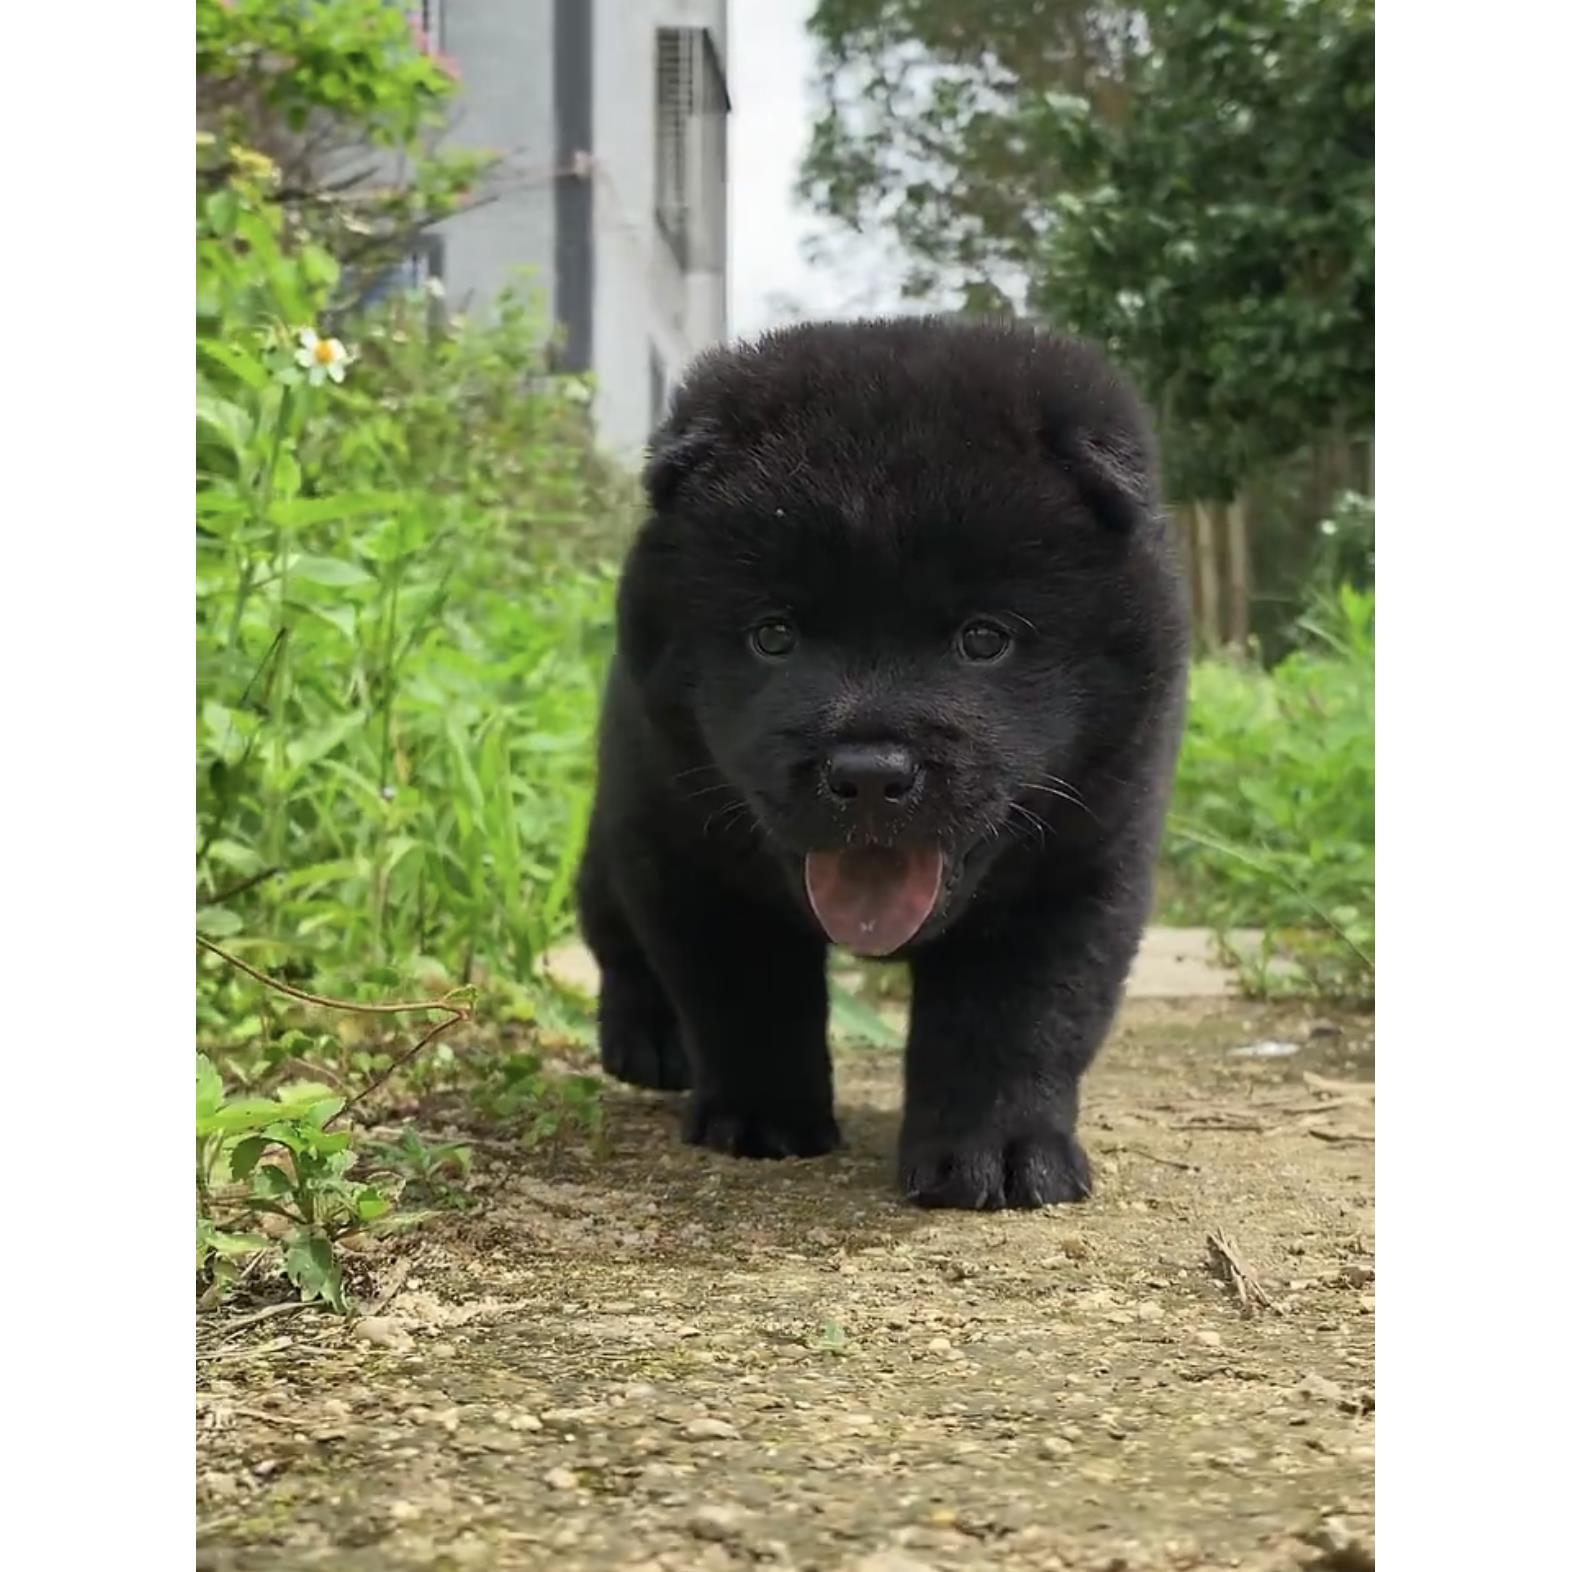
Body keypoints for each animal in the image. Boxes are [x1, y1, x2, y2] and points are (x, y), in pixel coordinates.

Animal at [581, 315, 1188, 1201]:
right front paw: (762, 1120)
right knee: (616, 939)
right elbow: (744, 995)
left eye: (984, 639)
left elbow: (1016, 1019)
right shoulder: (687, 854)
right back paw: (647, 1045)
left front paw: (998, 1157)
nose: (869, 773)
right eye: (773, 635)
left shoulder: (1077, 868)